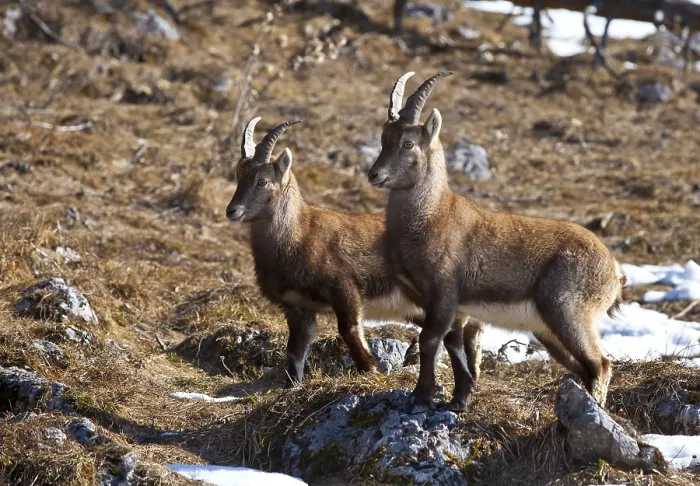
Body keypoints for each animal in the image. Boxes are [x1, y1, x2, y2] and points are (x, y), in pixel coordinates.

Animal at [226, 116, 484, 386]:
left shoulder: (343, 287)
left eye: (262, 181)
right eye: (239, 176)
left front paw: (369, 366)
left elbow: (348, 328)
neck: (299, 235)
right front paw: (292, 384)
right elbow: (295, 351)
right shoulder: (297, 308)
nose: (232, 210)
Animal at [367, 72, 627, 411]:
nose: (375, 174)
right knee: (585, 367)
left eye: (407, 143)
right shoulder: (454, 308)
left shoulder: (443, 294)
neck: (431, 216)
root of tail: (614, 272)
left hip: (568, 312)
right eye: (383, 138)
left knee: (601, 364)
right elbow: (454, 345)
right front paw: (460, 398)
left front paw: (420, 396)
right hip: (548, 331)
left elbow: (429, 340)